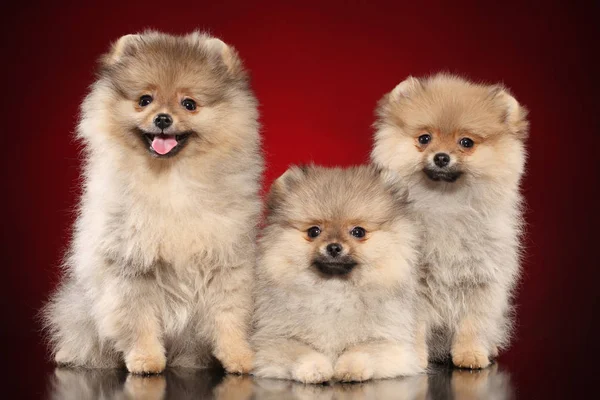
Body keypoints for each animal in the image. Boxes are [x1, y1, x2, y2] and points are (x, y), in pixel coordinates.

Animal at [43, 30, 264, 376]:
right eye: (145, 100)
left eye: (189, 104)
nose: (162, 118)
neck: (170, 181)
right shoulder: (132, 266)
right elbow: (138, 319)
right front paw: (145, 359)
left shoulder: (226, 262)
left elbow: (229, 316)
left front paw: (239, 357)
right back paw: (71, 354)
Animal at [251, 164, 424, 382]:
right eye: (313, 231)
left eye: (358, 232)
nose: (334, 247)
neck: (334, 291)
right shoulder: (275, 338)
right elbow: (301, 351)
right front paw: (314, 369)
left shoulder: (390, 341)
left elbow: (362, 349)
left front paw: (350, 368)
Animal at [370, 72, 528, 368]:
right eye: (424, 138)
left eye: (466, 143)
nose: (441, 157)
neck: (445, 203)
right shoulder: (416, 284)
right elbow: (415, 325)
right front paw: (416, 358)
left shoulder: (482, 279)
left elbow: (473, 324)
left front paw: (471, 354)